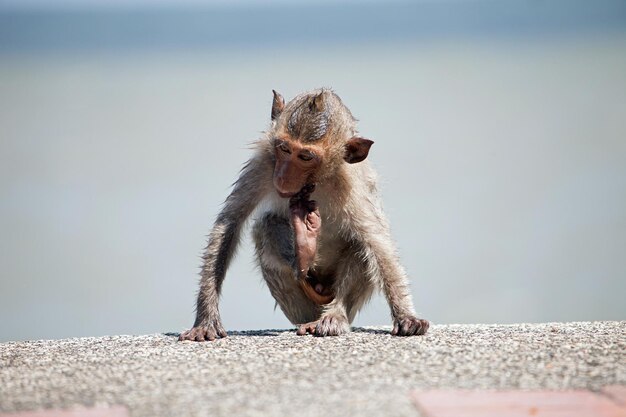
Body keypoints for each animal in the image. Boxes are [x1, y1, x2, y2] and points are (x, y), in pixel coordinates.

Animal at [178, 88, 426, 342]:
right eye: (284, 149)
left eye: (305, 157)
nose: (284, 176)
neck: (314, 183)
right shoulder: (265, 163)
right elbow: (231, 222)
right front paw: (206, 320)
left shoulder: (351, 184)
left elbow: (375, 239)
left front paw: (406, 316)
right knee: (265, 226)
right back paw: (303, 255)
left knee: (359, 245)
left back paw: (333, 315)